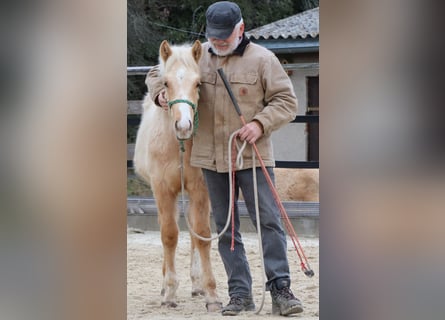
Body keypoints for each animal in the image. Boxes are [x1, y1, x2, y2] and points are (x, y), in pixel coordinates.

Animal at [133, 40, 221, 312]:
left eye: (198, 83)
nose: (183, 127)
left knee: (193, 234)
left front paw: (211, 294)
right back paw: (165, 286)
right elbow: (169, 235)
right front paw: (170, 292)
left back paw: (196, 284)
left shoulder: (200, 190)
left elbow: (201, 236)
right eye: (166, 83)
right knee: (166, 229)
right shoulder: (162, 189)